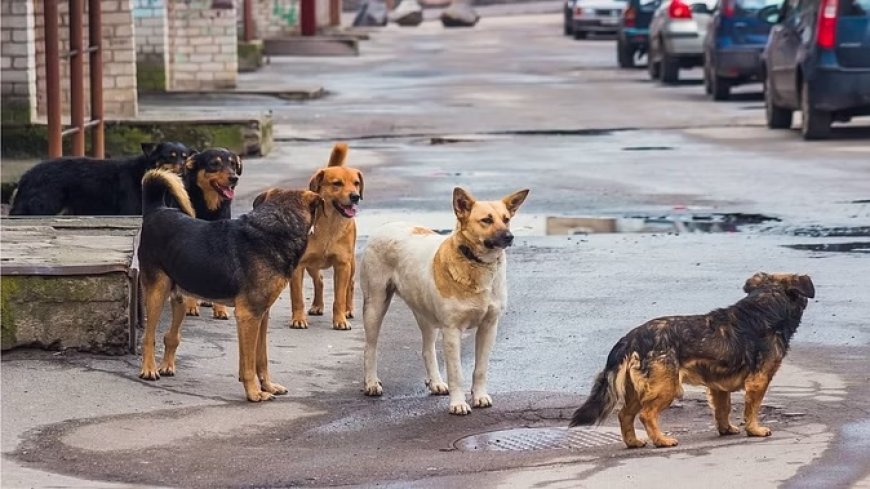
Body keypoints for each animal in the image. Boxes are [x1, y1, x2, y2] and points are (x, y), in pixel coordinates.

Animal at [10, 142, 191, 216]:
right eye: (170, 156)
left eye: (185, 157)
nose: (183, 168)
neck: (144, 171)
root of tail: (27, 175)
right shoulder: (129, 211)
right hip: (43, 207)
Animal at [138, 168, 322, 400]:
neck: (277, 227)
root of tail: (157, 210)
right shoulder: (248, 316)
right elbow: (248, 364)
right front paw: (254, 393)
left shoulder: (262, 315)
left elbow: (261, 358)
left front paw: (268, 386)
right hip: (157, 292)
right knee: (148, 336)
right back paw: (149, 369)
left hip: (180, 297)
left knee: (171, 336)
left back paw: (167, 365)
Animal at [292, 143, 362, 330]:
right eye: (337, 184)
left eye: (356, 183)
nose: (355, 196)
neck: (330, 224)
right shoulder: (298, 266)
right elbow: (297, 297)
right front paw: (298, 319)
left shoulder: (342, 265)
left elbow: (339, 298)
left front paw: (340, 320)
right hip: (312, 265)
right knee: (320, 280)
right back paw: (317, 305)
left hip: (351, 264)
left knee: (350, 285)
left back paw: (348, 309)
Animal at [362, 185, 532, 414]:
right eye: (486, 220)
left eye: (506, 219)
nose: (510, 236)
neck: (475, 263)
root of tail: (387, 225)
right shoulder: (452, 330)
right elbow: (456, 373)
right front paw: (458, 404)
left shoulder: (489, 326)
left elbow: (480, 368)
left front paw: (479, 396)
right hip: (375, 305)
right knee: (370, 348)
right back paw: (371, 383)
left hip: (424, 313)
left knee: (427, 349)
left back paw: (435, 382)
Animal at [572, 272, 816, 448]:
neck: (765, 305)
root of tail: (631, 338)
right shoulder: (759, 380)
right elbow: (752, 409)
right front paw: (755, 430)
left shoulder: (718, 386)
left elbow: (723, 409)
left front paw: (726, 429)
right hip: (667, 387)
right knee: (646, 414)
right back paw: (661, 440)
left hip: (636, 390)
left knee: (624, 415)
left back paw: (633, 442)